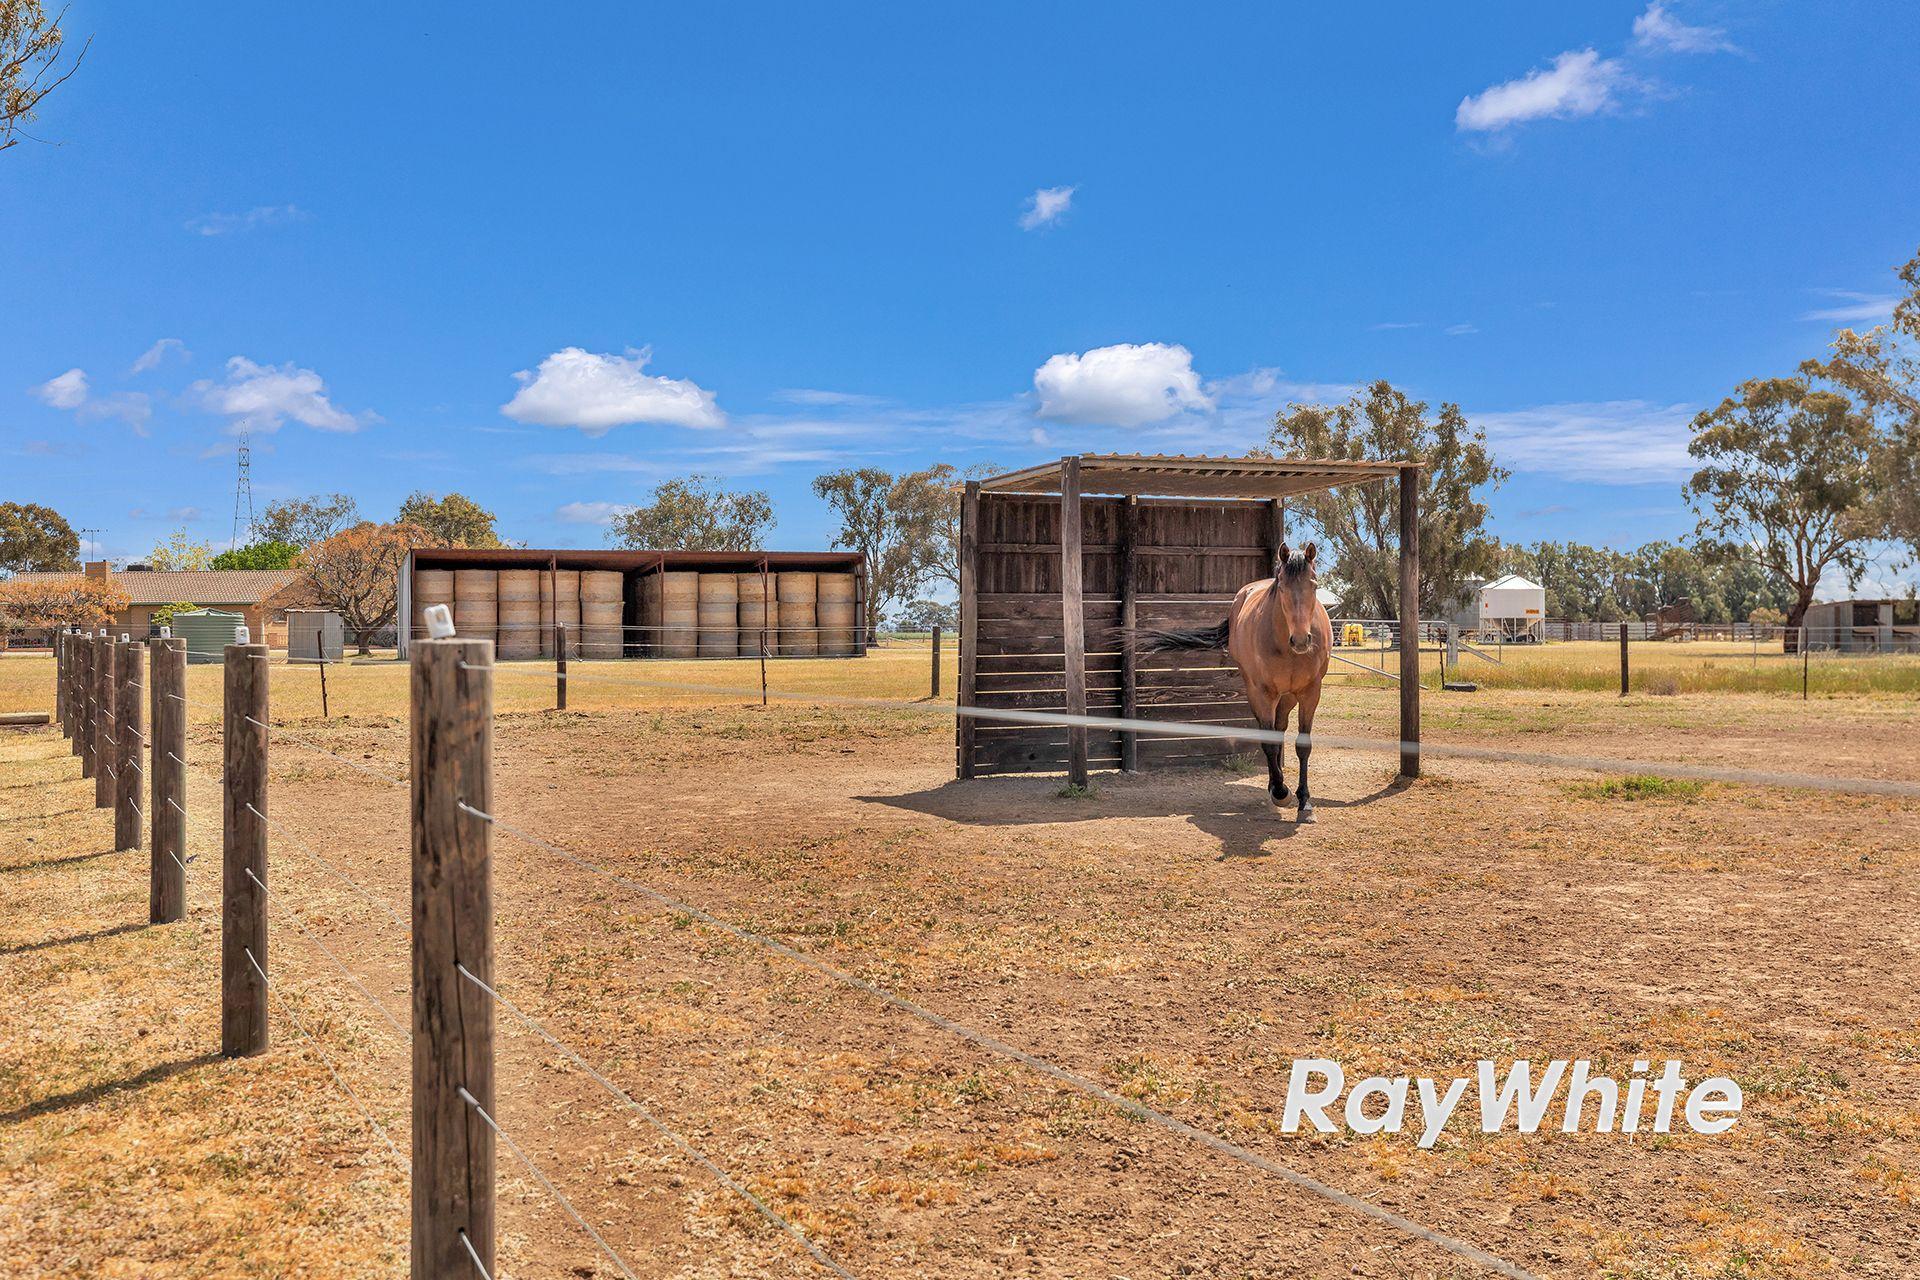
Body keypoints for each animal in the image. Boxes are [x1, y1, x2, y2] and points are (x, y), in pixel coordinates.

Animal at [1137, 542, 1332, 822]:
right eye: (1283, 587)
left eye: (1314, 585)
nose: (1300, 640)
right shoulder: (1263, 693)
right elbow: (1268, 743)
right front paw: (1280, 791)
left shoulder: (1310, 693)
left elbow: (1303, 746)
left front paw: (1305, 802)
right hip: (1261, 693)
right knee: (1270, 735)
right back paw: (1275, 786)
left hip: (1287, 697)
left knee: (1280, 728)